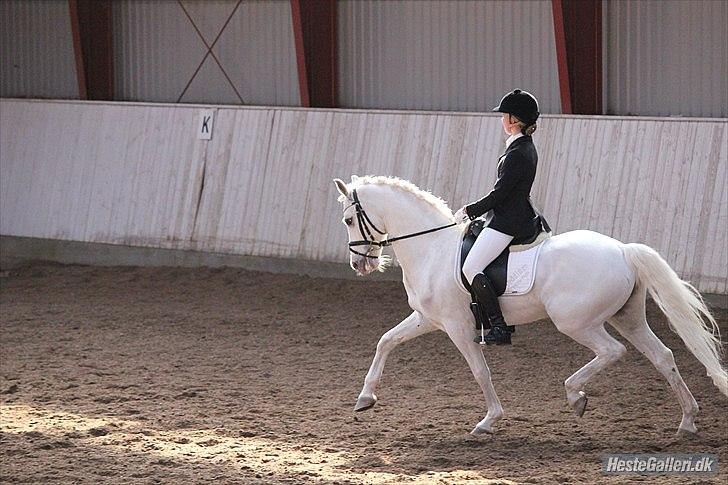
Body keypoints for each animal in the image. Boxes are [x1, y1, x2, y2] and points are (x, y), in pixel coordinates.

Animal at [333, 175, 727, 436]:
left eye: (349, 220)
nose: (359, 265)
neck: (432, 249)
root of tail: (623, 250)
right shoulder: (427, 318)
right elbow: (386, 340)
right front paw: (365, 398)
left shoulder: (458, 327)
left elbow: (480, 371)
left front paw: (488, 421)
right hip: (627, 317)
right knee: (663, 356)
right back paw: (688, 421)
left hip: (576, 322)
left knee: (612, 351)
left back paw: (575, 396)